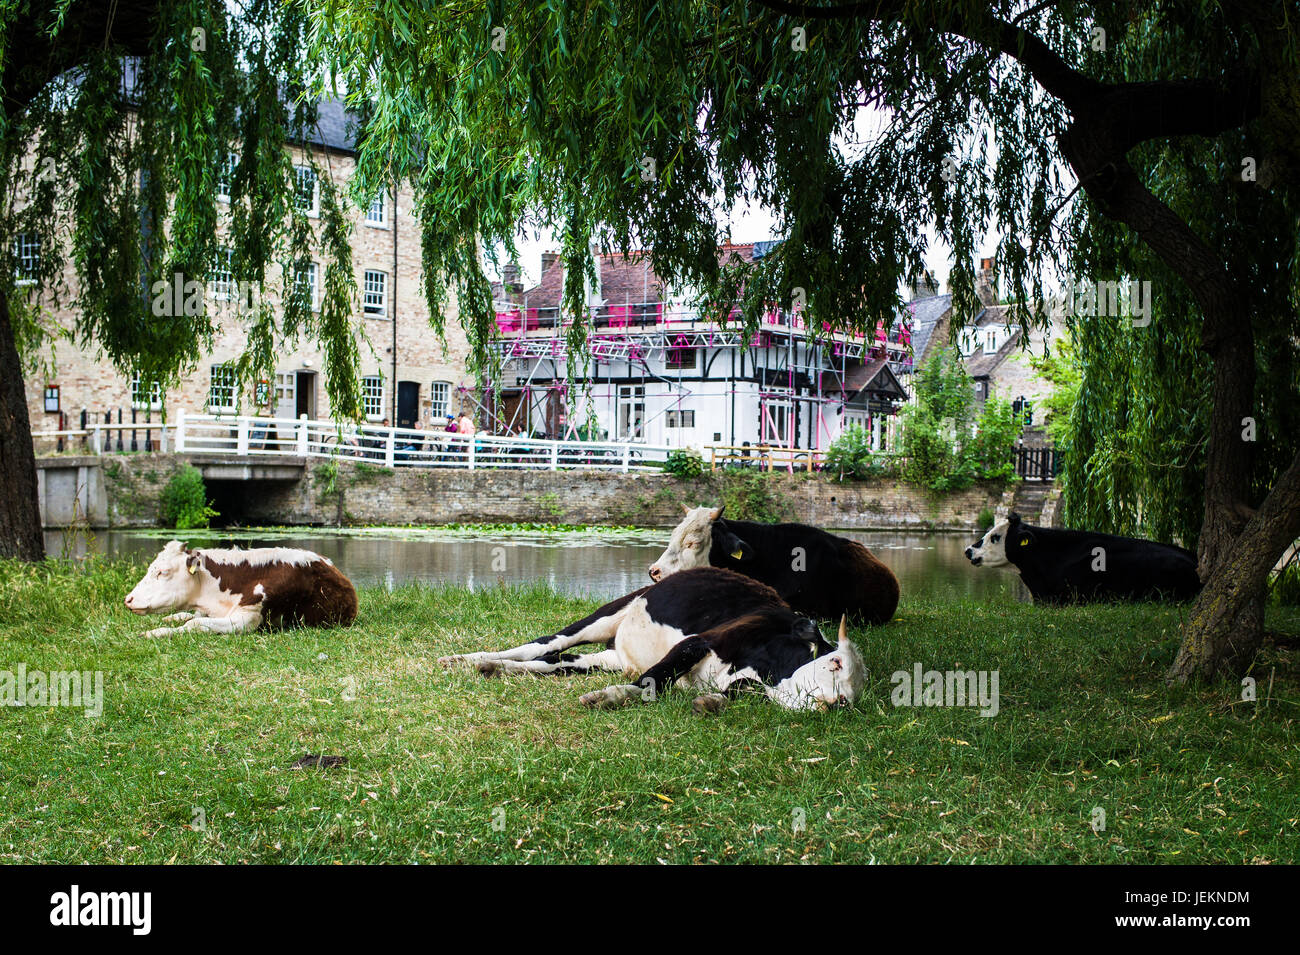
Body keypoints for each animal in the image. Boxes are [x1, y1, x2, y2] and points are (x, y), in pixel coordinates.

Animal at [124, 540, 358, 639]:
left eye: (163, 572)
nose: (128, 599)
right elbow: (194, 618)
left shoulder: (247, 620)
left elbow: (195, 624)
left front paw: (153, 633)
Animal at [441, 563, 868, 712]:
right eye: (834, 661)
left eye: (853, 696)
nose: (836, 704)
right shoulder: (699, 641)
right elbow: (656, 680)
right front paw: (612, 697)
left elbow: (727, 695)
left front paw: (709, 702)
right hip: (608, 614)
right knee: (546, 644)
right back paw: (467, 658)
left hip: (605, 657)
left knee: (554, 664)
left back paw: (495, 667)